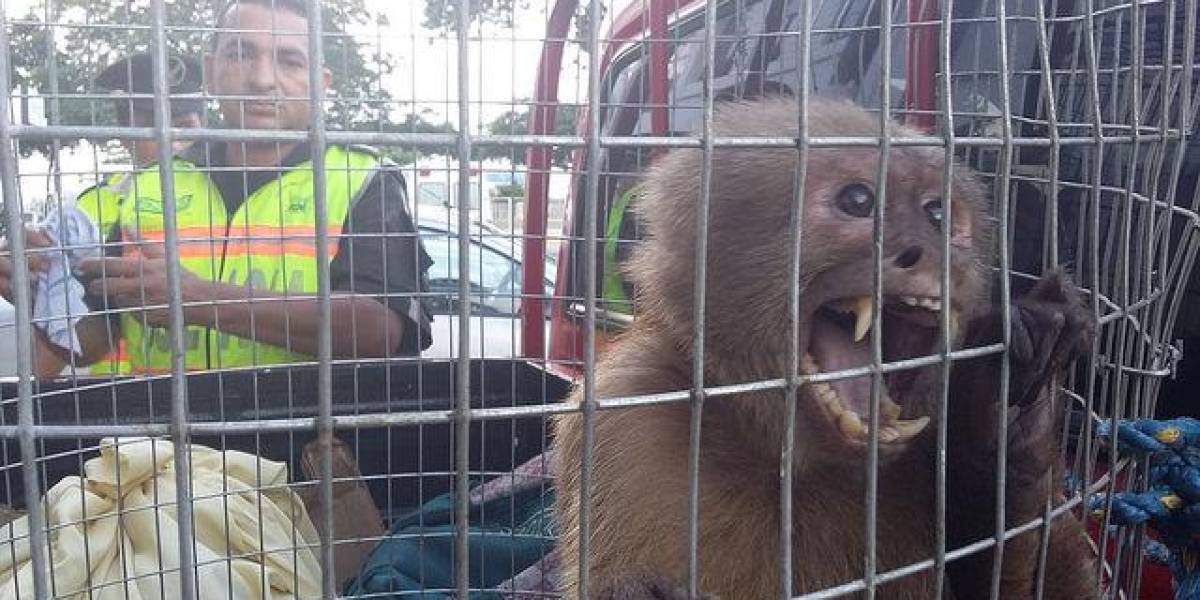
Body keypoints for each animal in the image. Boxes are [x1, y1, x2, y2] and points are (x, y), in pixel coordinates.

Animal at [549, 98, 1099, 600]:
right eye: (858, 200)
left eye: (937, 214)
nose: (932, 251)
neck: (783, 460)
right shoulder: (628, 409)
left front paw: (998, 411)